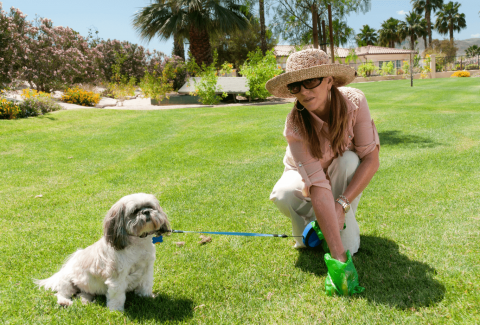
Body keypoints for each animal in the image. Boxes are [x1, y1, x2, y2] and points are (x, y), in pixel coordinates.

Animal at [34, 192, 169, 312]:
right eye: (134, 211)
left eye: (150, 207)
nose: (146, 212)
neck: (138, 243)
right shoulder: (117, 275)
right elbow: (117, 295)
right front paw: (116, 311)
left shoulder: (147, 269)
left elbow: (146, 285)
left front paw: (147, 297)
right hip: (68, 280)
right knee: (62, 293)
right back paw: (64, 302)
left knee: (83, 293)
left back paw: (86, 301)